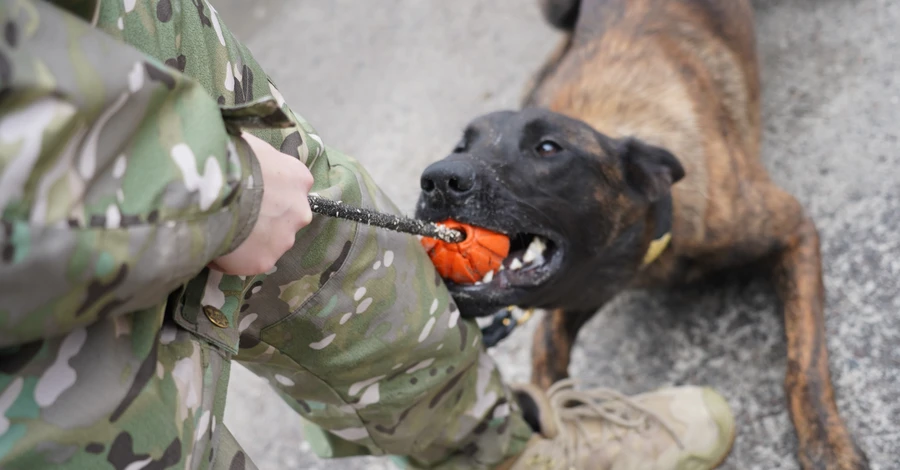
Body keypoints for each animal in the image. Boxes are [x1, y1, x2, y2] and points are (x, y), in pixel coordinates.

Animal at [416, 0, 872, 470]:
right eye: (460, 147)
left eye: (548, 148)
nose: (438, 181)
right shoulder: (578, 292)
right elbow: (545, 360)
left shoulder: (794, 229)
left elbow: (804, 360)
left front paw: (825, 441)